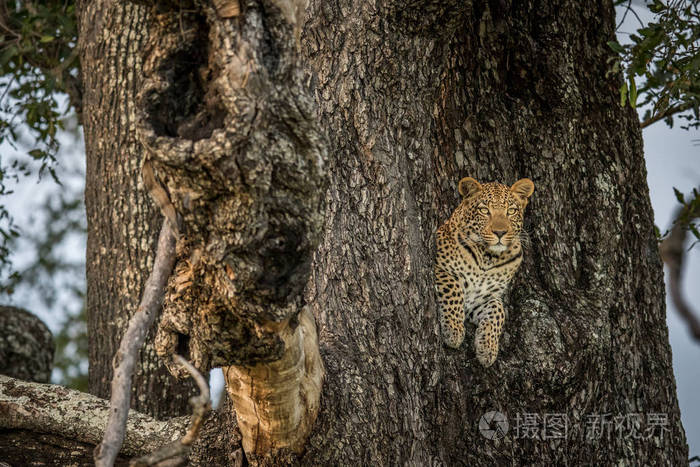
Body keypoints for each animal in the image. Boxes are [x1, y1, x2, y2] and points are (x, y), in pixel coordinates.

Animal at [432, 177, 536, 368]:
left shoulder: (484, 298)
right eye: (484, 210)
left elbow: (498, 311)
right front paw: (454, 331)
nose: (500, 232)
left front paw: (487, 348)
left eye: (511, 211)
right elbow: (454, 288)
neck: (488, 258)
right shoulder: (439, 267)